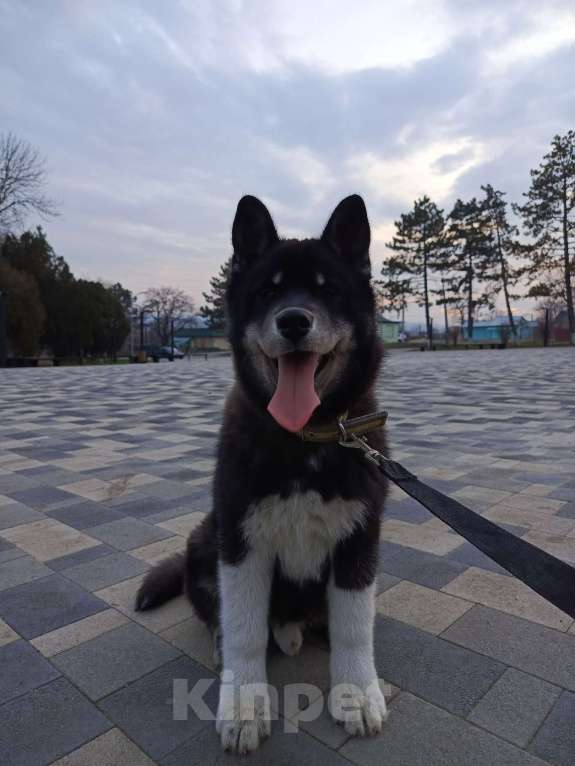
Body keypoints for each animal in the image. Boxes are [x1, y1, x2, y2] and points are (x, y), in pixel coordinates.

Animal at [136, 194, 390, 756]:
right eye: (268, 292)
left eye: (328, 290)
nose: (293, 320)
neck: (304, 439)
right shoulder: (241, 540)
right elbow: (245, 628)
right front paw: (244, 704)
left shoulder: (360, 539)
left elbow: (355, 626)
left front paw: (357, 692)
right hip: (204, 537)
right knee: (223, 617)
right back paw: (229, 645)